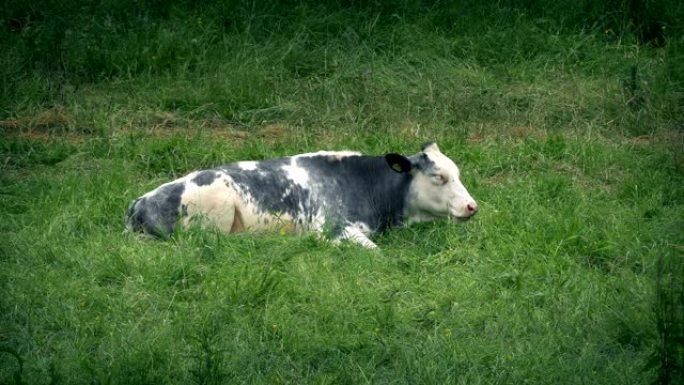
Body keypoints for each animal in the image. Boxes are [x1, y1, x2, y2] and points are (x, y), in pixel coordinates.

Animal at [124, 142, 476, 249]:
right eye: (439, 176)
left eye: (458, 172)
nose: (472, 206)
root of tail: (138, 202)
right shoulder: (331, 228)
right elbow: (375, 252)